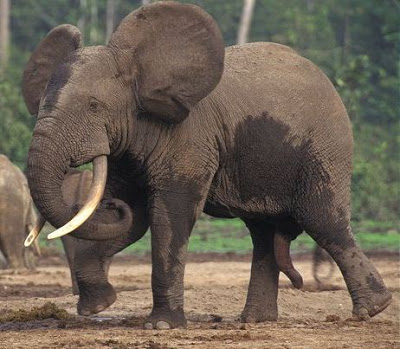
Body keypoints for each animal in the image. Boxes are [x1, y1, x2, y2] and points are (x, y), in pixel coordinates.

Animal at [21, 1, 390, 328]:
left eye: (94, 106)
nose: (111, 203)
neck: (137, 64)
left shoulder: (189, 137)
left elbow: (169, 214)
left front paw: (162, 326)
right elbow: (129, 219)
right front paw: (98, 307)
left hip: (324, 148)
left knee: (323, 220)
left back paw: (372, 310)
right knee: (263, 234)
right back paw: (255, 321)